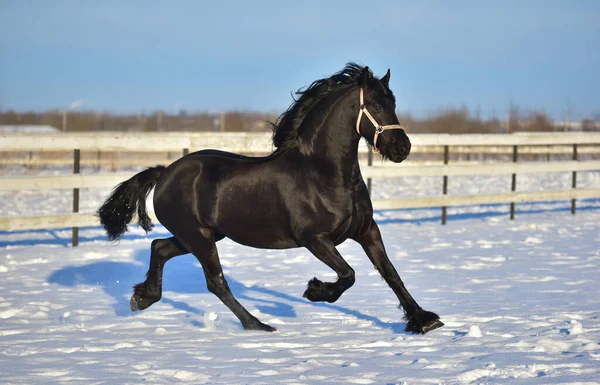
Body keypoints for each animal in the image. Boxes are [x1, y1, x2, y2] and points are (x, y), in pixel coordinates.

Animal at [98, 63, 442, 332]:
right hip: (199, 237)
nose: (402, 148)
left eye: (392, 102)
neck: (324, 174)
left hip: (202, 235)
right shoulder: (314, 239)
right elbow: (348, 274)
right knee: (215, 281)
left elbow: (391, 273)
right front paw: (315, 291)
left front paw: (424, 320)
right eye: (374, 104)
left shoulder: (367, 230)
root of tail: (166, 172)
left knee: (160, 247)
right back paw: (257, 324)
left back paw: (142, 297)